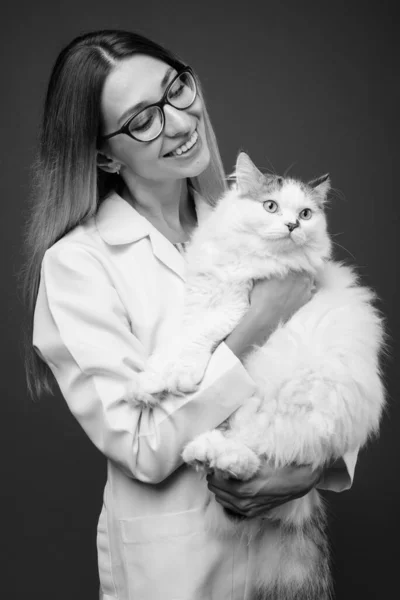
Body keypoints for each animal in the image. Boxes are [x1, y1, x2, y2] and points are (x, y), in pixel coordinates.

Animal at [134, 152, 384, 600]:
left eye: (305, 213)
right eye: (270, 206)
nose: (292, 225)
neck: (246, 260)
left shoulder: (234, 307)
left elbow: (199, 339)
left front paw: (178, 376)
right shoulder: (202, 297)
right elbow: (177, 340)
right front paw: (152, 381)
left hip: (283, 402)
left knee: (254, 455)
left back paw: (214, 455)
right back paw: (205, 451)